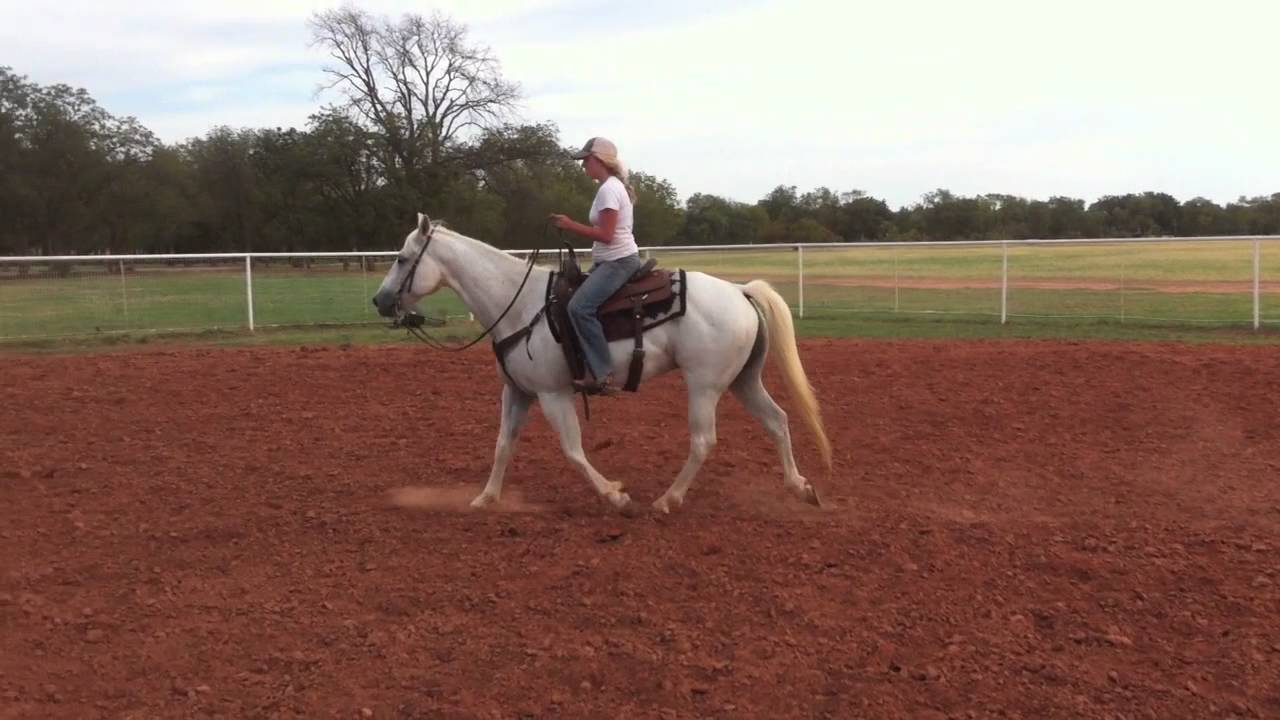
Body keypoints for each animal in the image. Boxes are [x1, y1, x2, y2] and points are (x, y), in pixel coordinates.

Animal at [371, 213, 833, 515]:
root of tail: (740, 292)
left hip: (704, 385)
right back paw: (800, 487)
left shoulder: (553, 394)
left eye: (401, 257)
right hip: (742, 380)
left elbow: (573, 450)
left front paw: (615, 495)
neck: (519, 306)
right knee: (777, 420)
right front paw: (486, 498)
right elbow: (503, 444)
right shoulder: (518, 391)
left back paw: (667, 501)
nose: (379, 300)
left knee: (704, 441)